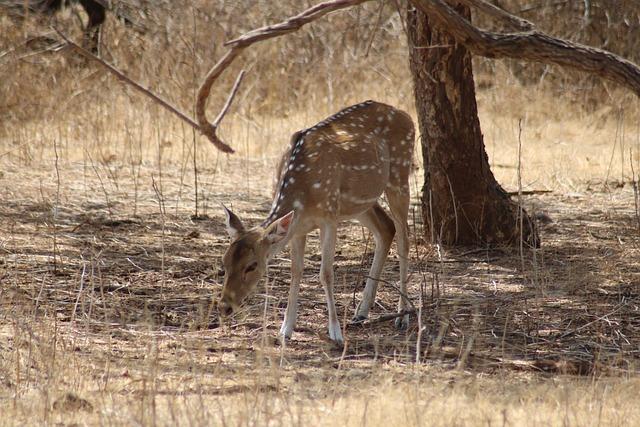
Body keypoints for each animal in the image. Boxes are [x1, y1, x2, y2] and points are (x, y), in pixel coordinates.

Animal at [220, 100, 416, 344]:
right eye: (224, 262)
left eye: (252, 265)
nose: (225, 306)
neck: (304, 193)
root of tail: (405, 114)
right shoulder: (297, 227)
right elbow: (296, 271)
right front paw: (285, 330)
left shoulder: (329, 218)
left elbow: (326, 273)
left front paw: (336, 333)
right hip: (357, 203)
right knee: (386, 228)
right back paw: (361, 312)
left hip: (399, 175)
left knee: (404, 238)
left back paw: (403, 316)